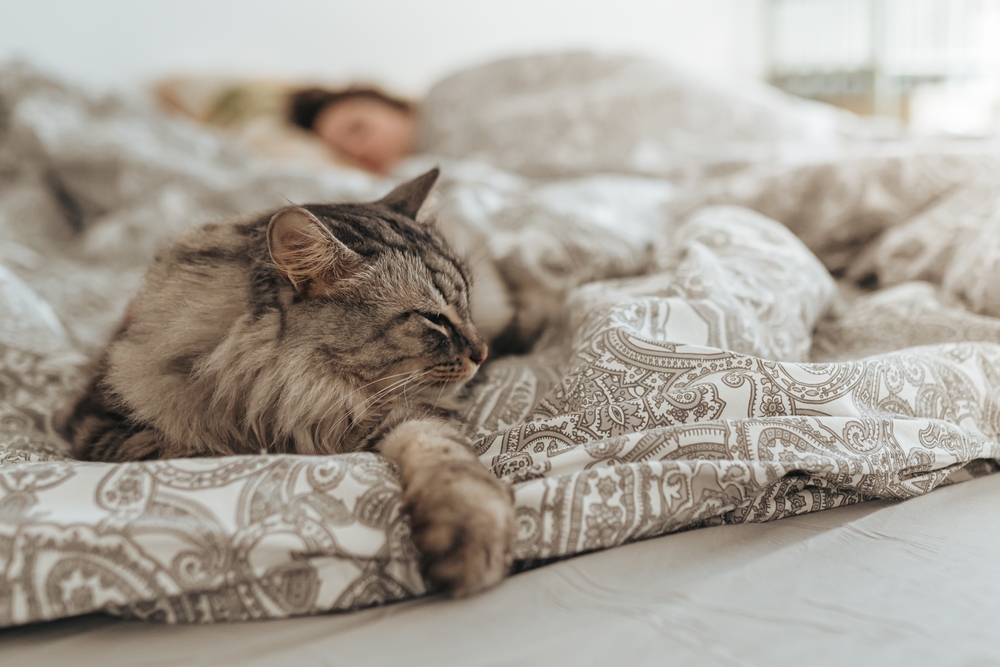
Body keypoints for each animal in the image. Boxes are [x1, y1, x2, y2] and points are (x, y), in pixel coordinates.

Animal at [64, 170, 516, 596]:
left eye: (465, 306)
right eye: (433, 318)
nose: (481, 354)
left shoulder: (392, 415)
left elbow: (448, 461)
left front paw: (470, 536)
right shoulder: (108, 429)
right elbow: (204, 451)